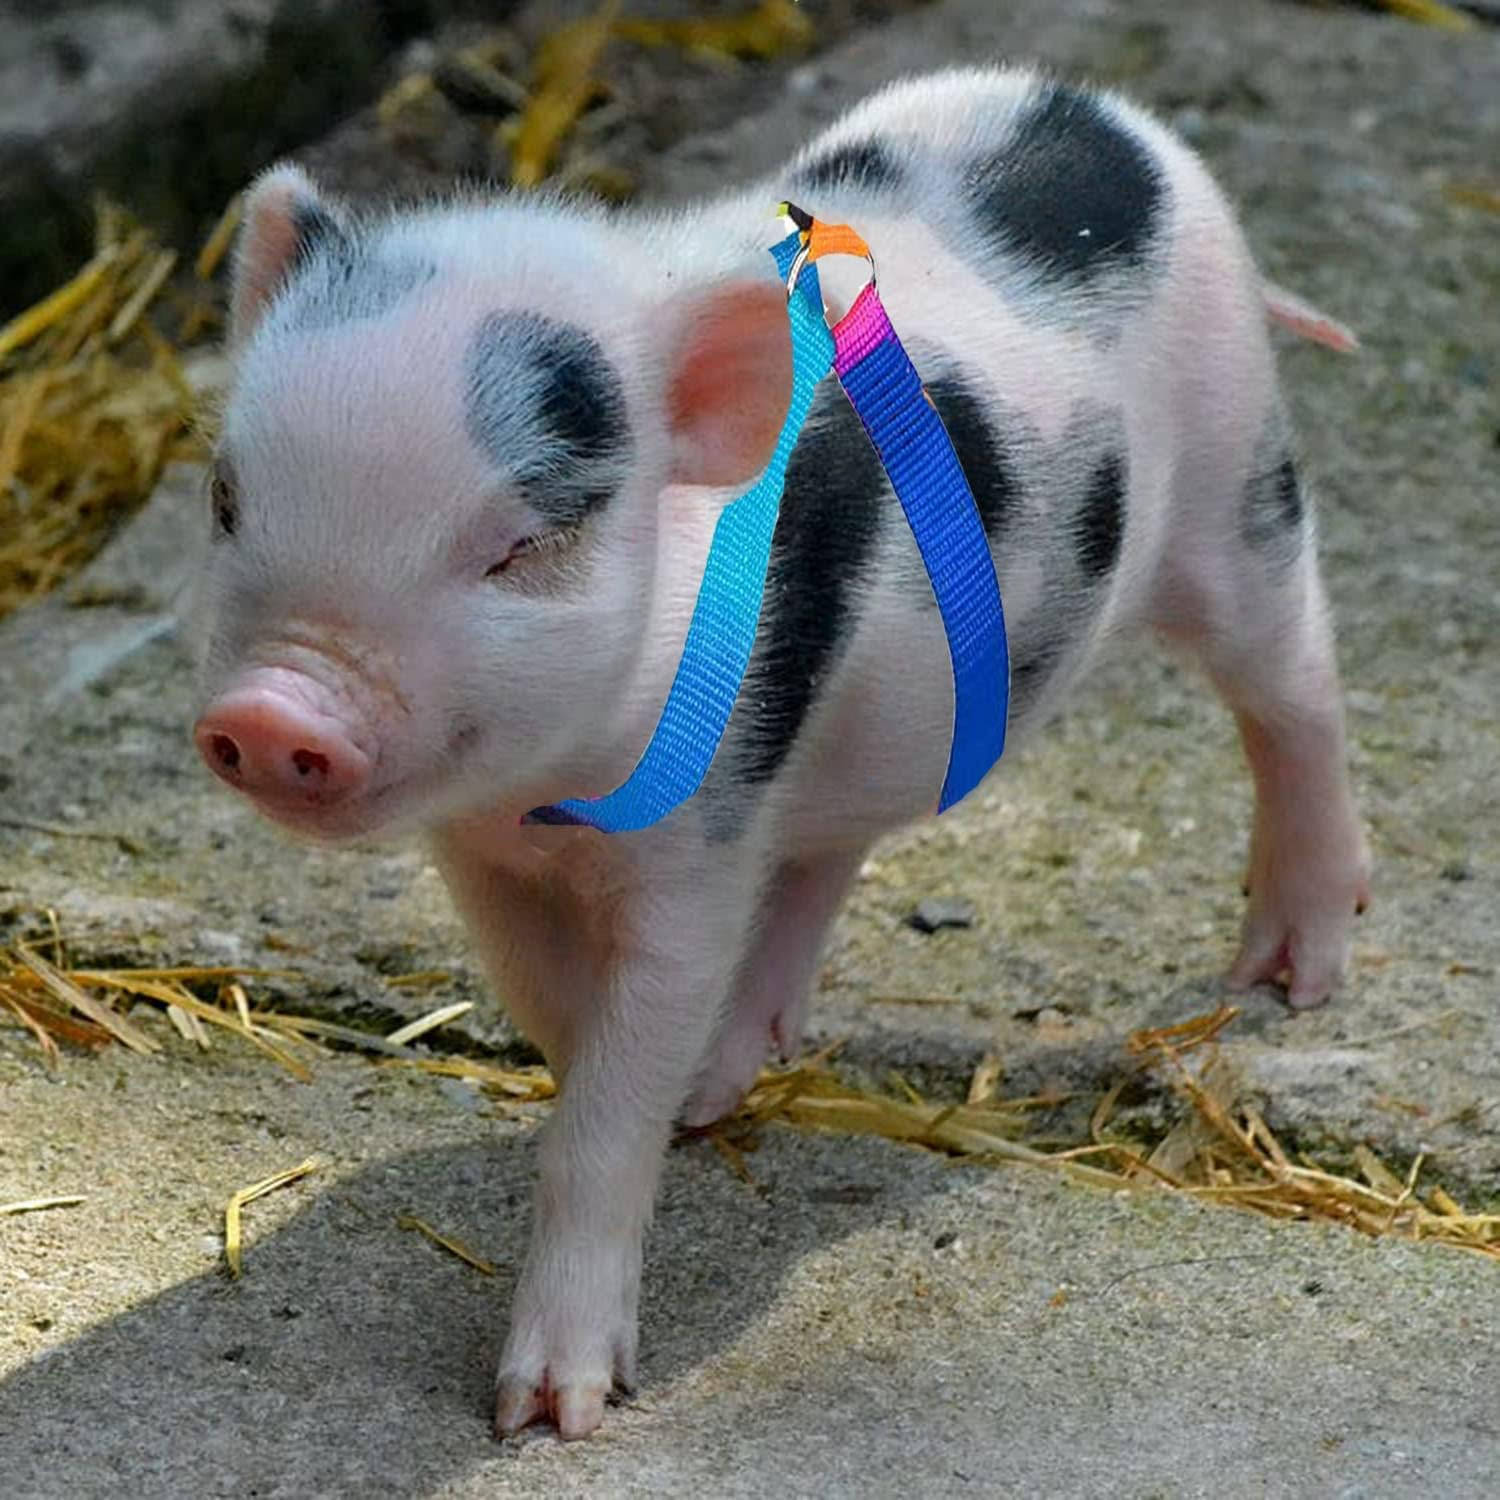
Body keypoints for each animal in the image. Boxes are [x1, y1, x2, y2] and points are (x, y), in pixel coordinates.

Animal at [191, 65, 1371, 1440]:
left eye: (516, 545)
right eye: (226, 500)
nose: (274, 712)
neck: (545, 800)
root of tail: (1095, 110)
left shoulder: (698, 841)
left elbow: (607, 1101)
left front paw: (549, 1415)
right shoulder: (483, 856)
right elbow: (554, 1011)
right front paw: (678, 1092)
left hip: (1239, 485)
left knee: (1296, 687)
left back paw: (1288, 976)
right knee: (832, 847)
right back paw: (733, 1064)